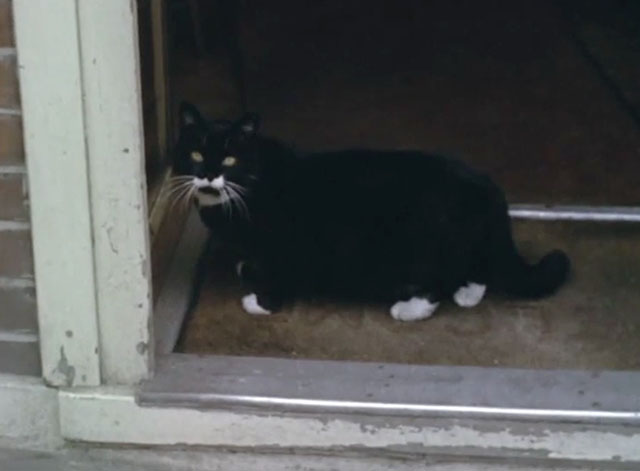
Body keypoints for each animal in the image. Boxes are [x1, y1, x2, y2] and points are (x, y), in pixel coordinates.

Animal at [171, 102, 568, 324]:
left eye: (229, 159)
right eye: (195, 155)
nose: (208, 174)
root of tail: (487, 184)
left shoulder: (282, 244)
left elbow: (276, 274)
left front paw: (260, 303)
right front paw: (245, 267)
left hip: (424, 241)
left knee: (438, 281)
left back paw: (410, 309)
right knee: (476, 266)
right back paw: (468, 293)